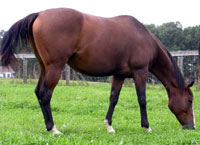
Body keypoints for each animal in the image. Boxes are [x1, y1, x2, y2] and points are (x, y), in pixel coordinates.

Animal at [0, 7, 195, 134]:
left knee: (38, 93)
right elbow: (142, 99)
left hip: (44, 67)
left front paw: (109, 126)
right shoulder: (140, 72)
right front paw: (147, 126)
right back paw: (54, 129)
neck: (143, 38)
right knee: (46, 94)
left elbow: (113, 99)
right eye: (190, 100)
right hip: (55, 67)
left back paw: (48, 126)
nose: (192, 126)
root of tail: (39, 14)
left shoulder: (119, 75)